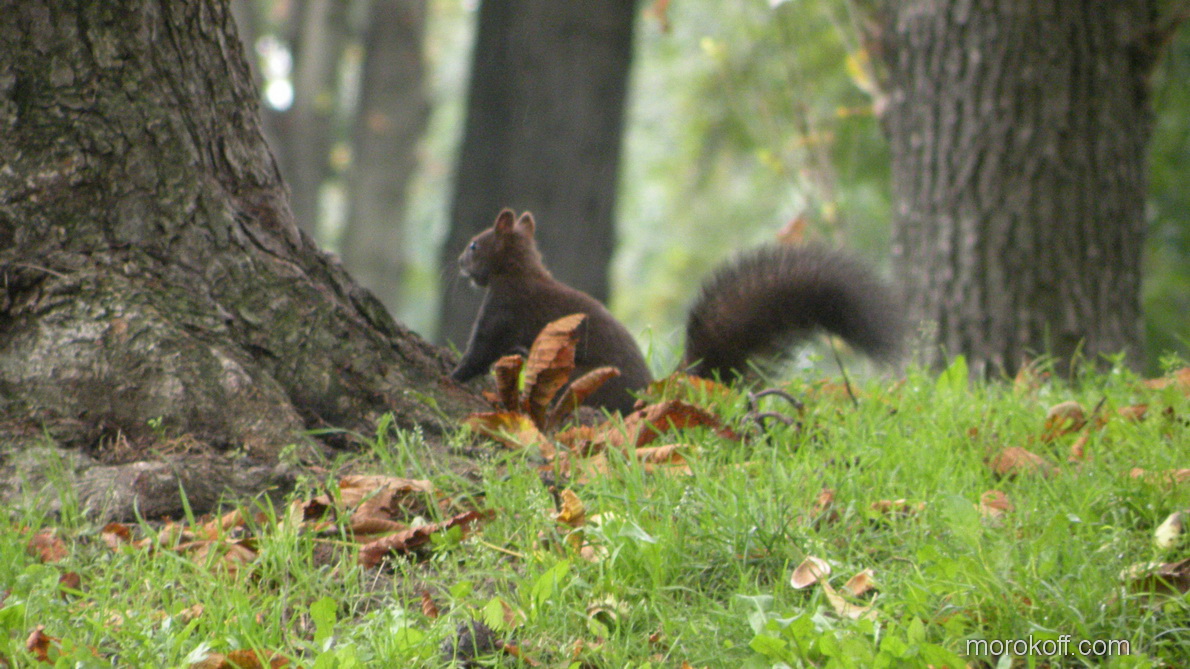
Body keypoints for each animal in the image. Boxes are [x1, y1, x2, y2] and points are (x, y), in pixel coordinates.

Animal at [450, 208, 904, 413]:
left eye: (474, 245)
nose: (457, 262)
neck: (522, 270)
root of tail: (645, 398)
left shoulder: (501, 311)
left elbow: (479, 352)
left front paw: (453, 376)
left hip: (580, 382)